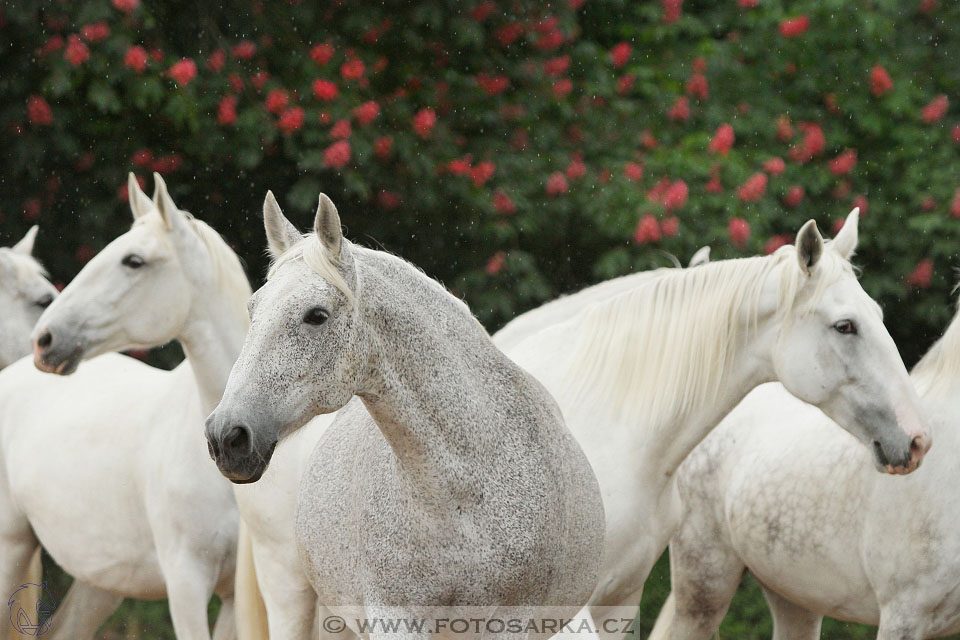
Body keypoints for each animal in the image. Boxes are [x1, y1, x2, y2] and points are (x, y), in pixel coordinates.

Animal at [0, 175, 248, 640]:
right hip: (11, 551)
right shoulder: (186, 584)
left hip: (99, 582)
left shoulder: (238, 594)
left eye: (134, 261)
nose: (45, 340)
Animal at [208, 192, 608, 636]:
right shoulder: (394, 617)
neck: (458, 492)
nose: (226, 436)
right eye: (253, 310)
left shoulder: (511, 621)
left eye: (317, 315)